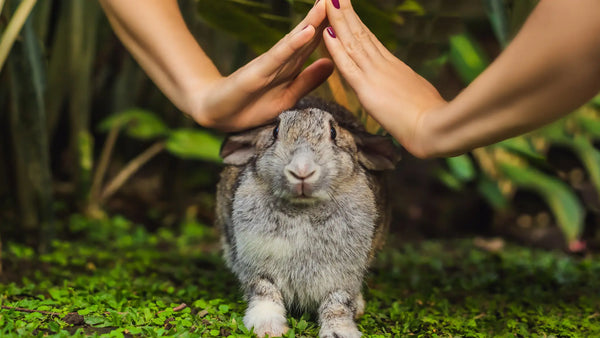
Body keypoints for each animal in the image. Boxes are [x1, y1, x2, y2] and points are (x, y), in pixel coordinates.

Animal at [214, 97, 398, 338]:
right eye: (275, 131)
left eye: (333, 133)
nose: (302, 170)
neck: (303, 208)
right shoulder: (256, 267)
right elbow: (264, 292)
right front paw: (268, 328)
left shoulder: (342, 276)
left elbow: (337, 303)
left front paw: (339, 332)